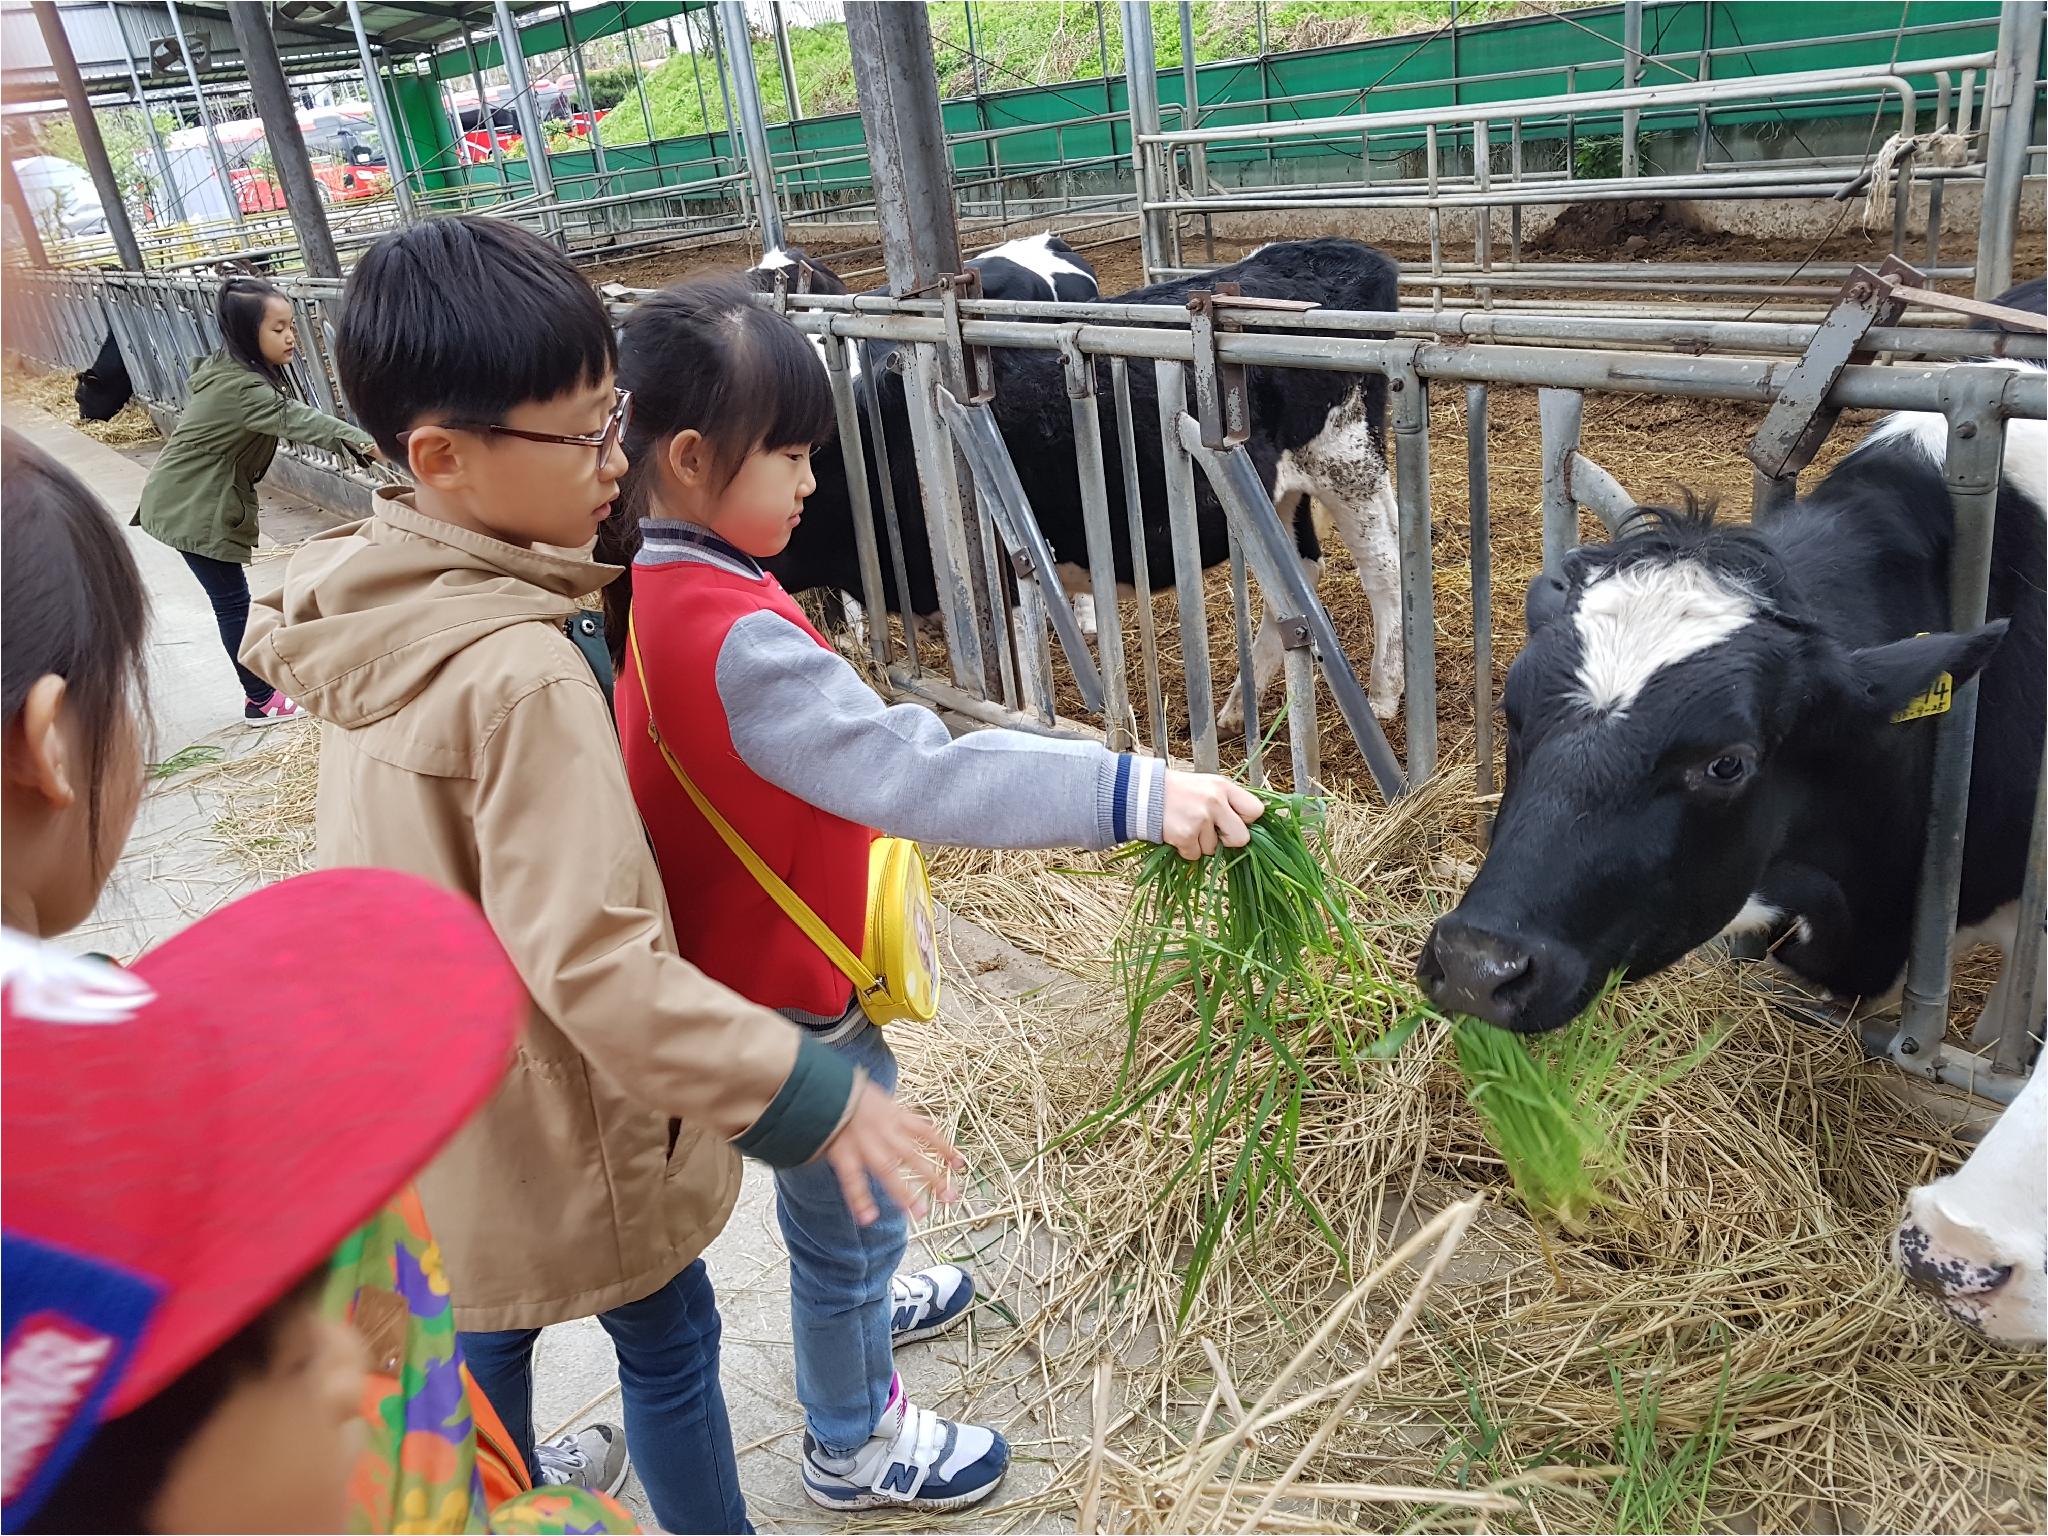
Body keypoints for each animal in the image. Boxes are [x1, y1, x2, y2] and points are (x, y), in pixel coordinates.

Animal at [765, 237, 1409, 724]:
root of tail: (1339, 251)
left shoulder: (1001, 566)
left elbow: (1023, 677)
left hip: (1346, 458)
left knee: (1383, 567)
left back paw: (1382, 695)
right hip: (1279, 491)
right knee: (1300, 576)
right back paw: (1232, 713)